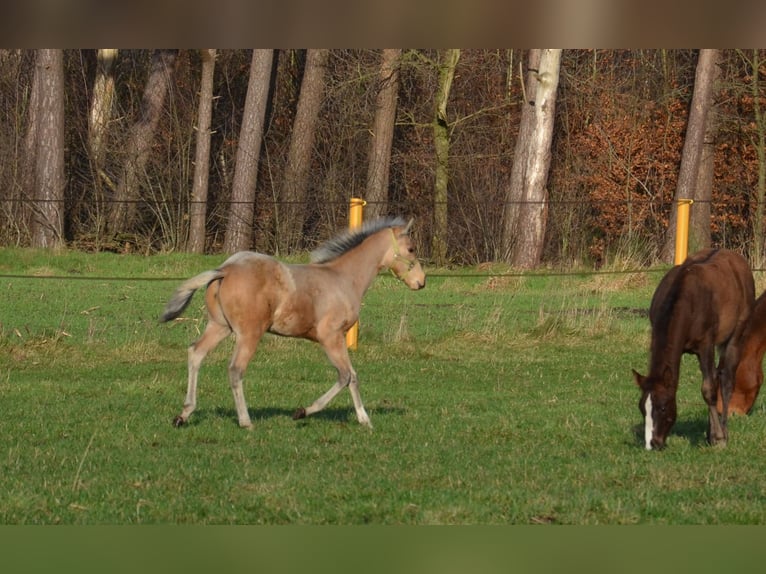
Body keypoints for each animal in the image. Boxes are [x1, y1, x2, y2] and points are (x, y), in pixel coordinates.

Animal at [161, 218, 426, 430]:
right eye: (411, 248)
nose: (421, 282)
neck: (342, 278)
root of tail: (225, 269)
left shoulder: (337, 338)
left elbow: (352, 376)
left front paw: (364, 420)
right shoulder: (331, 337)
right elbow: (345, 376)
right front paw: (302, 412)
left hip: (219, 326)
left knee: (196, 353)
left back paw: (183, 414)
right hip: (249, 334)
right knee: (235, 369)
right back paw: (246, 421)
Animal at [636, 250, 756, 452]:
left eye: (663, 407)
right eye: (642, 408)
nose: (652, 443)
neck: (685, 300)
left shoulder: (706, 344)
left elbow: (708, 389)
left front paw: (719, 438)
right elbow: (710, 385)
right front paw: (712, 434)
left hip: (736, 334)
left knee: (726, 379)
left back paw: (723, 431)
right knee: (716, 376)